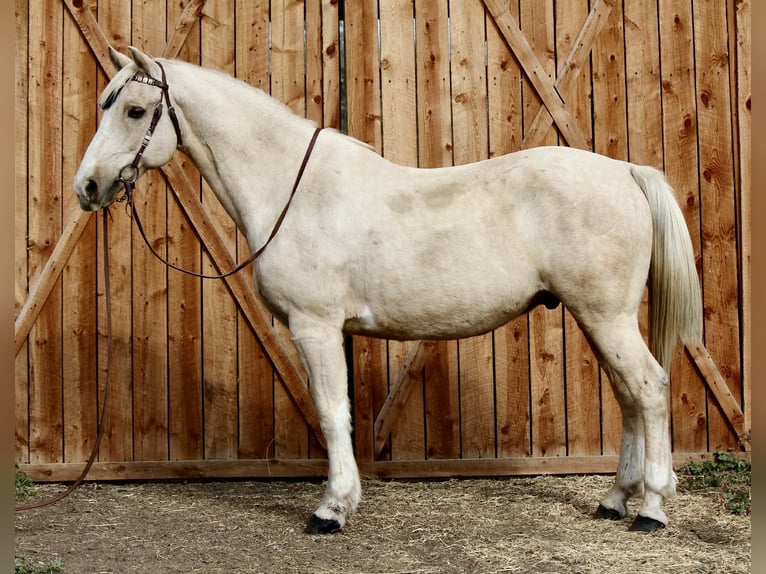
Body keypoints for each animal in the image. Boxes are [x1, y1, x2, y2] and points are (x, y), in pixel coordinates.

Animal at [74, 46, 703, 535]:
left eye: (135, 109)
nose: (88, 187)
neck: (292, 189)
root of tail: (624, 171)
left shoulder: (316, 326)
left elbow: (332, 413)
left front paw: (331, 509)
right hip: (598, 318)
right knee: (628, 396)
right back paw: (614, 500)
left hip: (606, 316)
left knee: (649, 389)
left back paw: (651, 508)